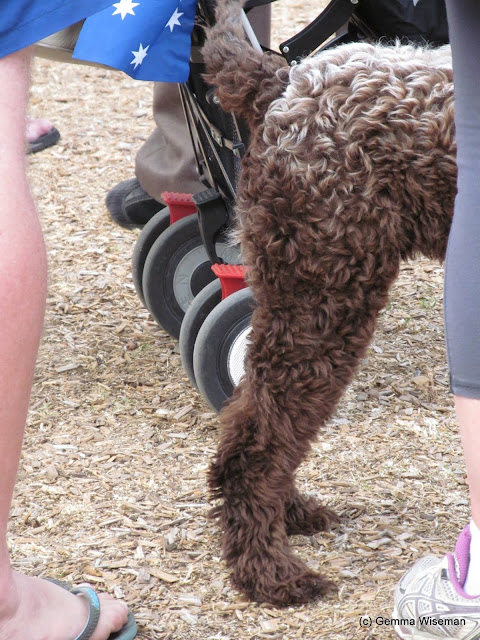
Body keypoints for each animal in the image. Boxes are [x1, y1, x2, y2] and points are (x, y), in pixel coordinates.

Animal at [203, 0, 456, 606]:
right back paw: (268, 570)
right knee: (258, 436)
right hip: (325, 295)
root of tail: (284, 82)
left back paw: (288, 514)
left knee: (249, 413)